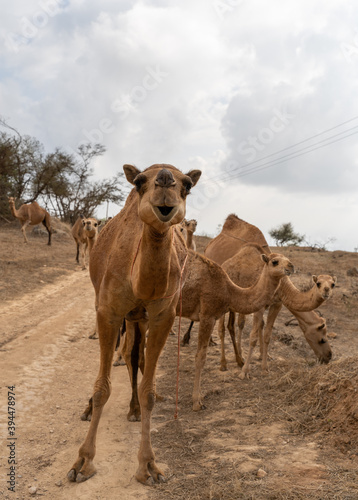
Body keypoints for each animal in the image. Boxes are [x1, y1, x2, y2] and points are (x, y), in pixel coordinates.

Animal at [67, 163, 201, 484]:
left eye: (188, 185)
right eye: (140, 181)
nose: (164, 178)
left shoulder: (163, 316)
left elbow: (148, 389)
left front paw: (149, 466)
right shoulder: (109, 312)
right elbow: (101, 387)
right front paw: (82, 462)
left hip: (139, 319)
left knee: (134, 356)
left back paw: (134, 408)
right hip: (118, 311)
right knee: (125, 355)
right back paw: (92, 409)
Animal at [206, 213, 338, 376]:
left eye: (332, 284)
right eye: (322, 339)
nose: (328, 356)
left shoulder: (276, 304)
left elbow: (266, 332)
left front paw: (264, 362)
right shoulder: (257, 305)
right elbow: (252, 335)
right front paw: (245, 370)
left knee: (232, 324)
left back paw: (236, 357)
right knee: (222, 327)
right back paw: (223, 363)